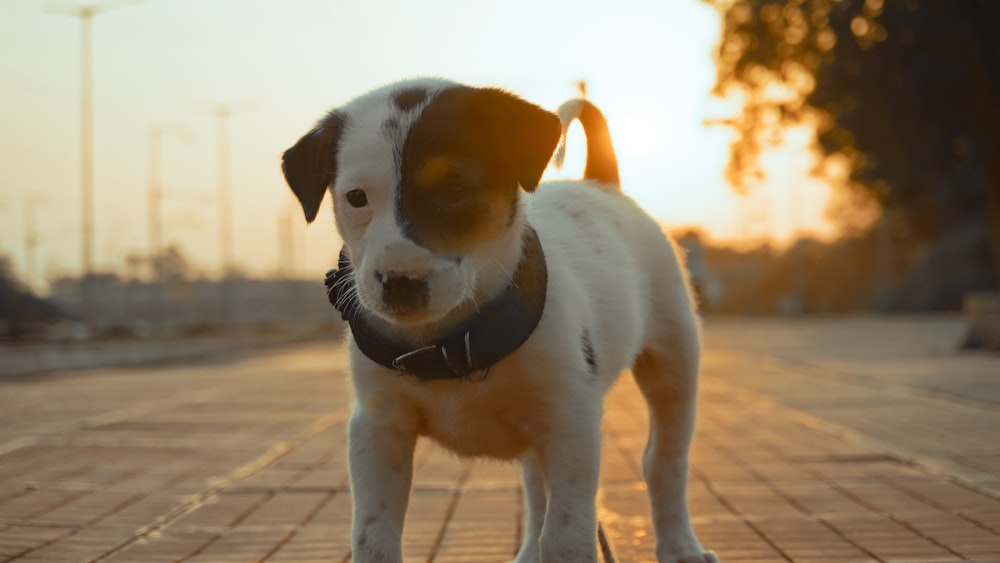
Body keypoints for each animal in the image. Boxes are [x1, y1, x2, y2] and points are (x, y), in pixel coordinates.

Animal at [282, 78, 720, 563]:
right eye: (356, 198)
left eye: (455, 187)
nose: (398, 283)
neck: (452, 339)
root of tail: (601, 183)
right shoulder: (378, 429)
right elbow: (372, 537)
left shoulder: (571, 421)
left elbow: (566, 535)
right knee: (536, 485)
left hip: (673, 362)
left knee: (663, 461)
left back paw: (681, 546)